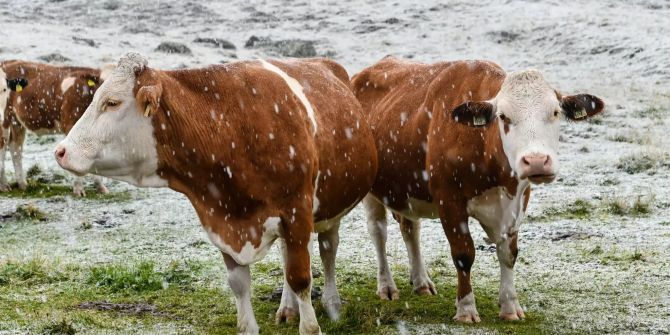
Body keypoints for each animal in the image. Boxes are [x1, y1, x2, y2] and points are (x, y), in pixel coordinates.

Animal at [0, 61, 113, 196]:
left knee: (15, 147)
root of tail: (9, 62)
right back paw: (4, 185)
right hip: (4, 119)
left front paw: (101, 187)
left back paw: (22, 184)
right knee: (2, 147)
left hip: (16, 122)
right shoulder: (69, 125)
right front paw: (78, 190)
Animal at [53, 53, 378, 335]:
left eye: (111, 102)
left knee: (327, 249)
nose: (61, 151)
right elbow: (240, 284)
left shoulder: (296, 211)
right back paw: (287, 309)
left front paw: (311, 324)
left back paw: (332, 304)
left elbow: (300, 278)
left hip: (329, 208)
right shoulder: (220, 217)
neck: (232, 129)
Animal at [354, 57, 608, 322]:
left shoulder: (517, 200)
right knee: (378, 233)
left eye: (555, 112)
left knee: (410, 229)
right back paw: (387, 286)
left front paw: (510, 307)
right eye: (503, 116)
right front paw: (466, 309)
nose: (536, 161)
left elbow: (509, 253)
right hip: (371, 190)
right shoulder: (449, 200)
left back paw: (421, 282)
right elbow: (463, 254)